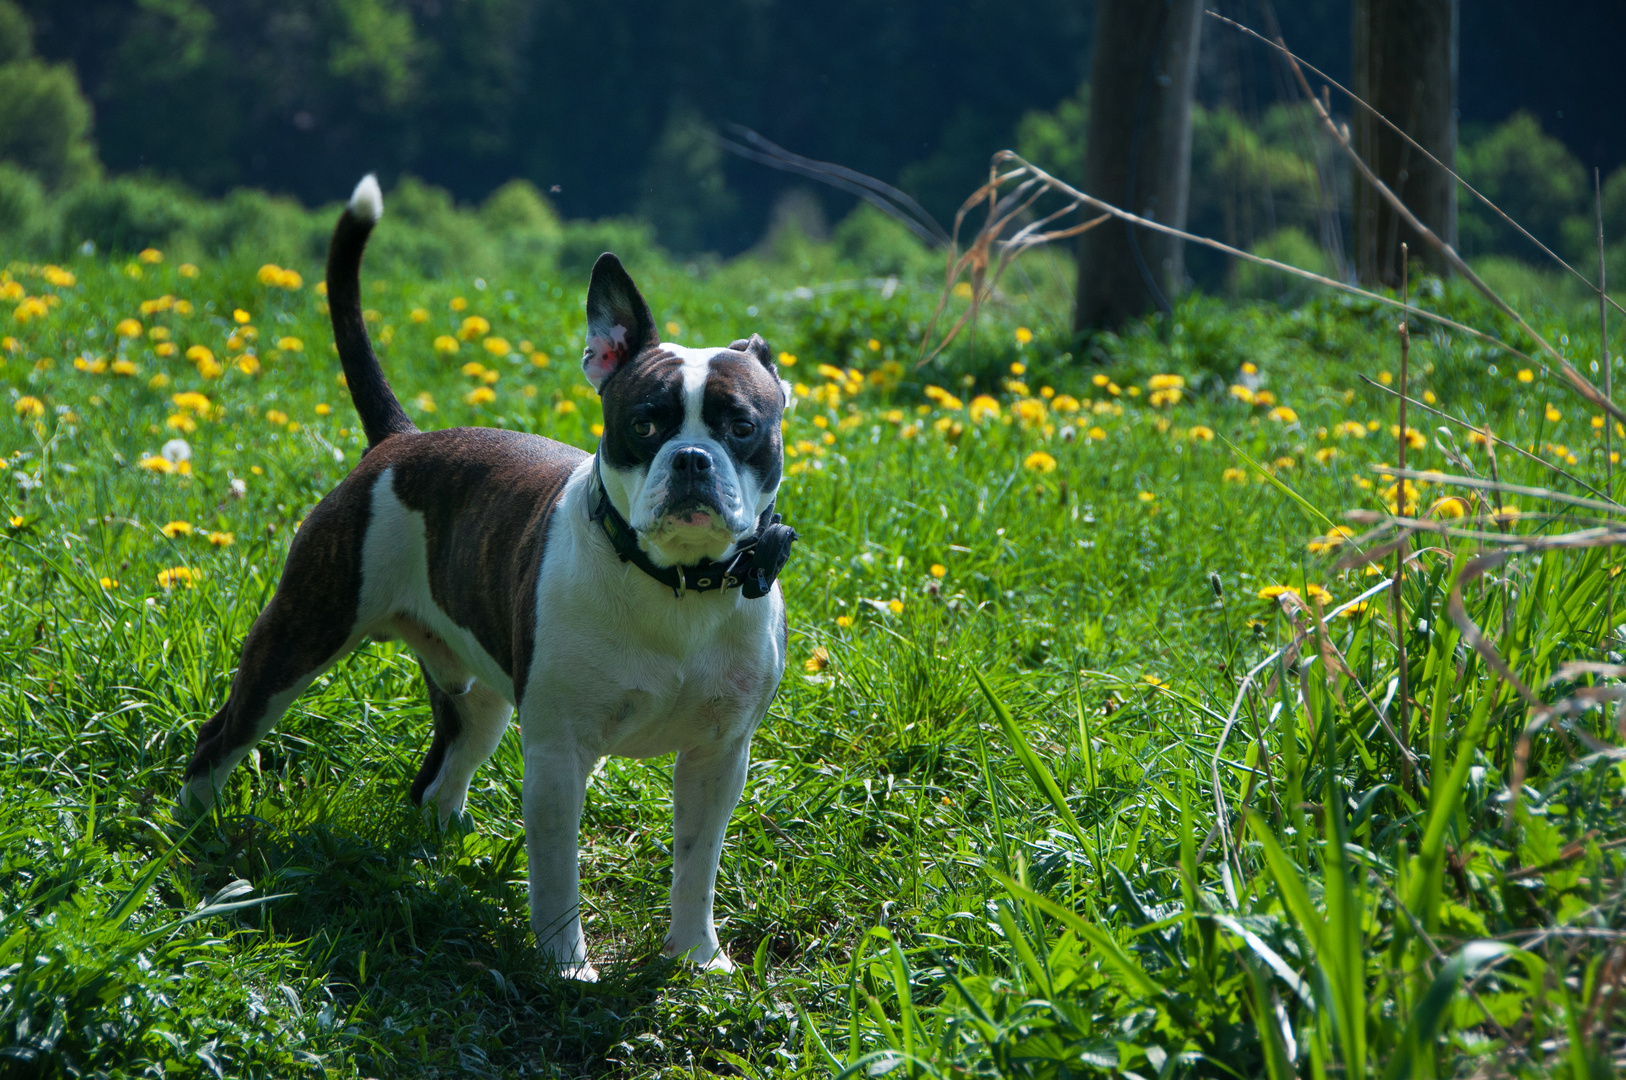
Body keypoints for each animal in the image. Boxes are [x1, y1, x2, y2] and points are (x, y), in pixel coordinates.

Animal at [181, 177, 796, 975]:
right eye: (644, 423)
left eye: (743, 427)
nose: (692, 459)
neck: (677, 586)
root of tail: (401, 441)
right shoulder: (559, 754)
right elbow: (557, 869)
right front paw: (567, 966)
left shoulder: (718, 758)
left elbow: (698, 864)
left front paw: (695, 957)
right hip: (301, 633)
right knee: (224, 733)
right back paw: (193, 832)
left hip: (477, 703)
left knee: (438, 778)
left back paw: (440, 858)